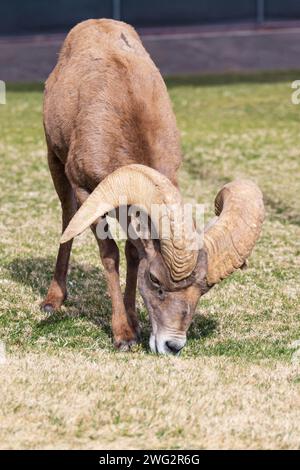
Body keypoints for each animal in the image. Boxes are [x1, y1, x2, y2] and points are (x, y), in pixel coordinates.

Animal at [42, 20, 264, 354]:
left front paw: (134, 324)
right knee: (68, 218)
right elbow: (110, 254)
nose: (173, 346)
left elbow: (133, 252)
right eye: (157, 281)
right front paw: (123, 336)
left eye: (202, 291)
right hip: (55, 161)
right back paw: (52, 301)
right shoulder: (85, 190)